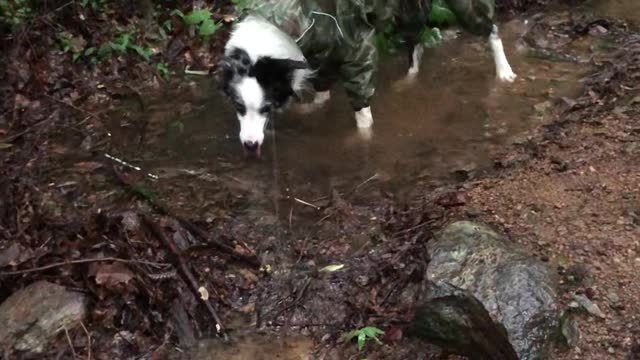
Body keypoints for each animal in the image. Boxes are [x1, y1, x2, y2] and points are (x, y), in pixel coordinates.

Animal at [219, 1, 516, 157]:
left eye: (266, 108)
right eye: (238, 107)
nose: (250, 146)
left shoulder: (357, 46)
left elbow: (362, 112)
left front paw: (363, 140)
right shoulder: (320, 53)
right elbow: (322, 89)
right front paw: (313, 107)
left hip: (462, 8)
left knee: (491, 29)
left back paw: (504, 72)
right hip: (407, 11)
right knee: (417, 40)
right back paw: (409, 79)